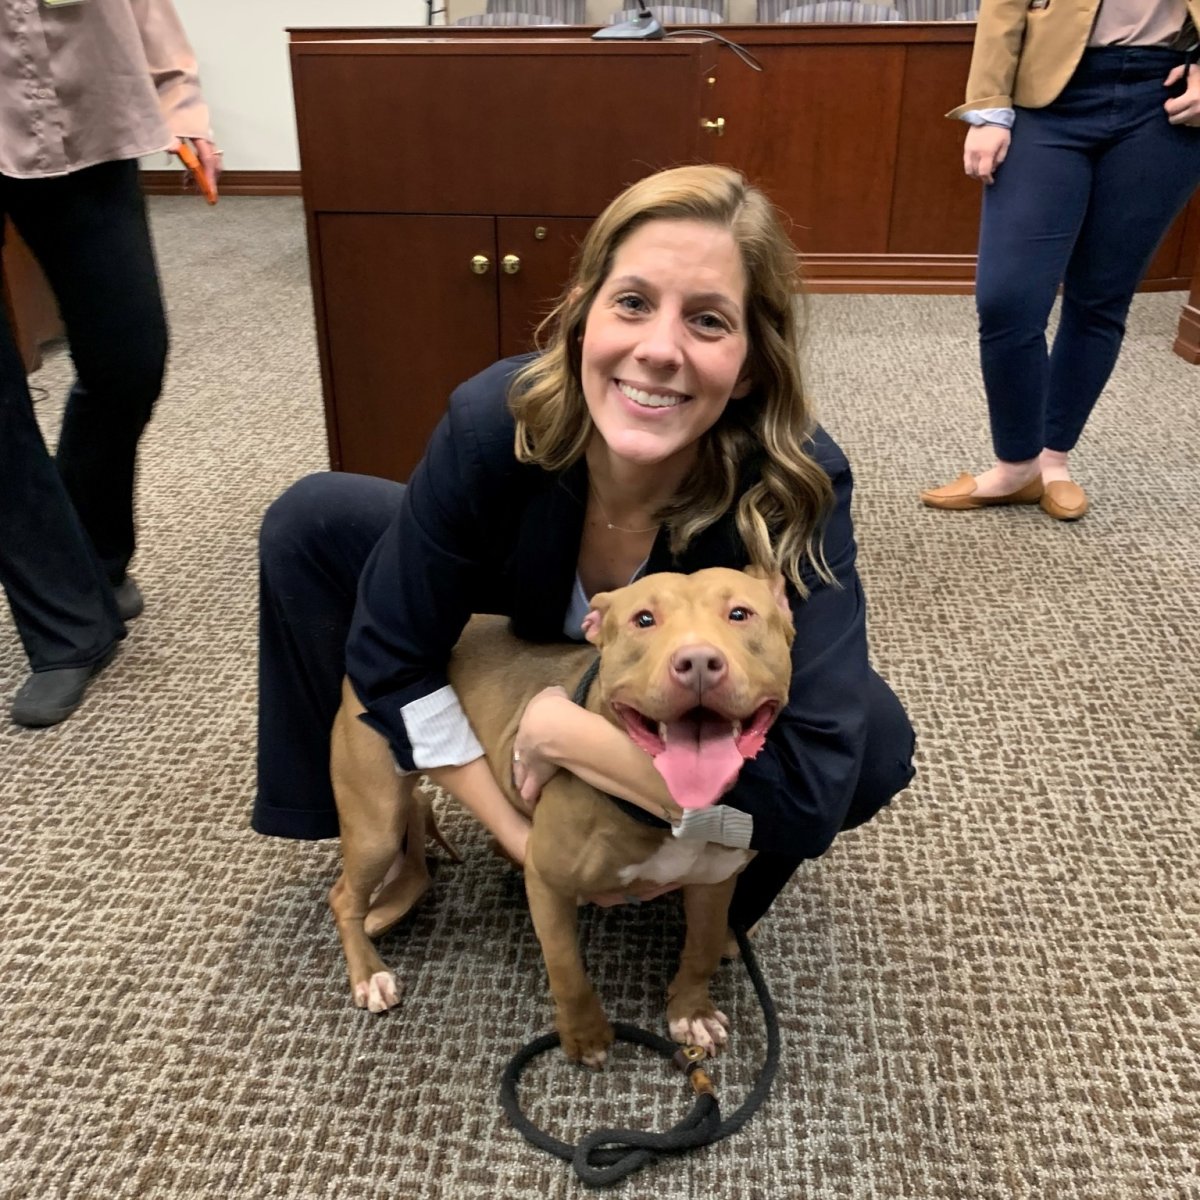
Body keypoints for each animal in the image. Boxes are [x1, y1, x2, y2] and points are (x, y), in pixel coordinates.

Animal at [328, 566, 796, 1065]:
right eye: (644, 619)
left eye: (740, 614)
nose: (699, 661)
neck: (659, 806)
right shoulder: (548, 879)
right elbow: (566, 966)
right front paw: (585, 1036)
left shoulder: (714, 880)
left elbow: (703, 948)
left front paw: (692, 1012)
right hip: (375, 818)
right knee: (345, 896)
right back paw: (369, 975)